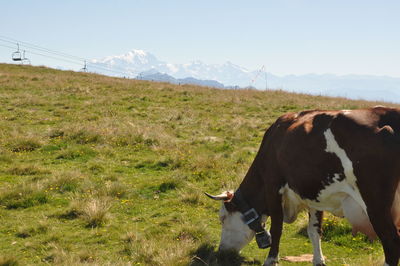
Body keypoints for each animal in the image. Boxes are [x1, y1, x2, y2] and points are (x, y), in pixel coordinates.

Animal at [206, 106, 400, 266]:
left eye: (222, 218)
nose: (221, 251)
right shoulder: (315, 194)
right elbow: (314, 230)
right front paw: (318, 260)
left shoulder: (273, 186)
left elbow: (276, 228)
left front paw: (271, 259)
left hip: (375, 204)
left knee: (391, 242)